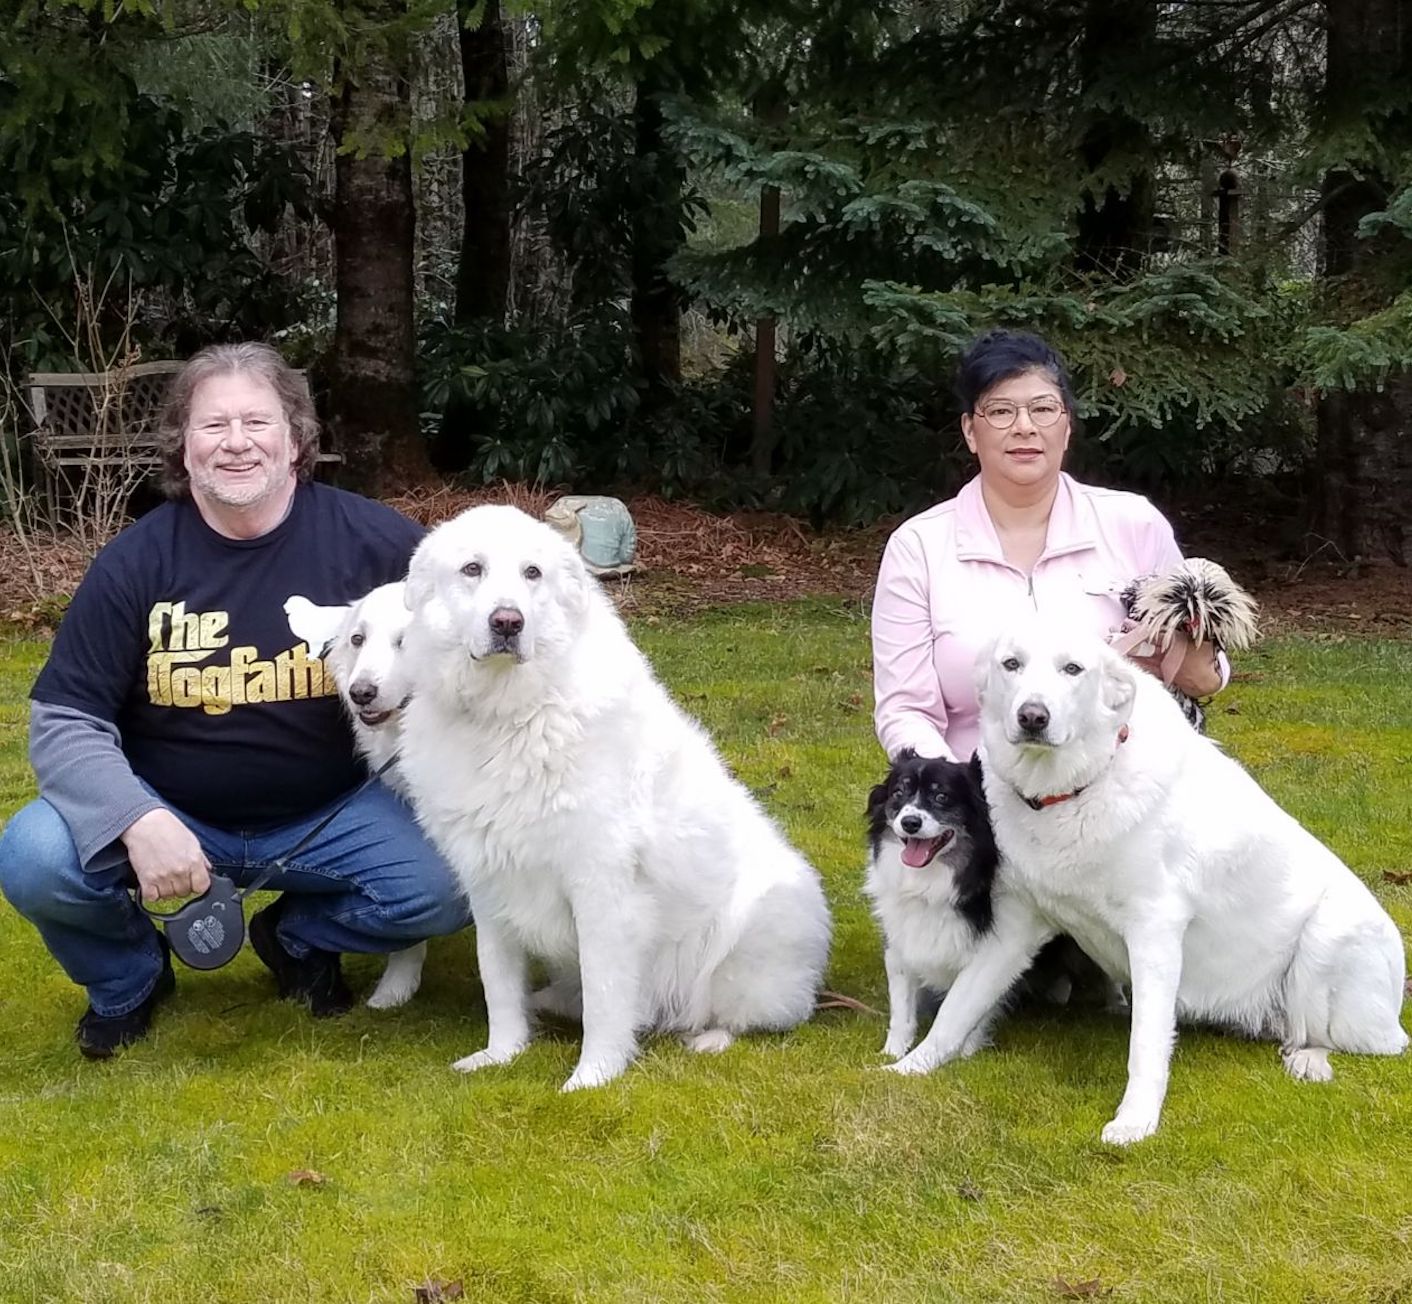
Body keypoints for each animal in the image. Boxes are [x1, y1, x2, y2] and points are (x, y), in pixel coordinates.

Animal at [392, 499, 830, 1089]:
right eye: (472, 569)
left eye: (532, 574)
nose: (507, 623)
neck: (510, 715)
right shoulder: (489, 885)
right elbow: (498, 986)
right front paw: (501, 1054)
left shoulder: (602, 890)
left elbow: (605, 996)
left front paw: (593, 1077)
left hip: (757, 930)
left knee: (745, 1014)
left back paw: (708, 1038)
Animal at [886, 618, 1406, 1140]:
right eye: (1011, 664)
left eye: (1072, 669)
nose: (1033, 716)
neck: (1072, 790)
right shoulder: (1014, 930)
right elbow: (958, 1006)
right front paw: (910, 1066)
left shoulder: (1155, 933)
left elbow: (1146, 1044)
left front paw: (1135, 1121)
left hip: (1327, 941)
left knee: (1367, 1041)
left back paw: (1309, 1061)